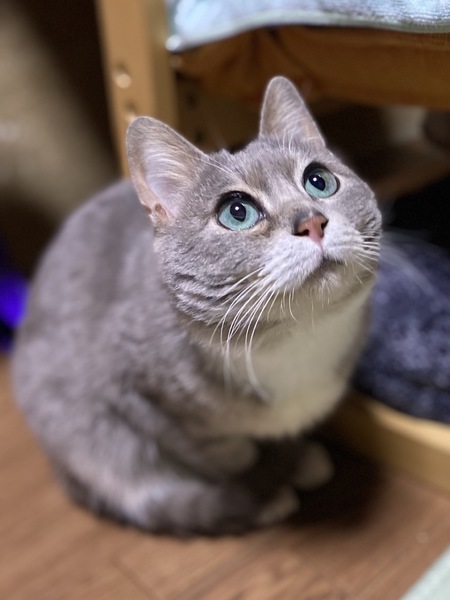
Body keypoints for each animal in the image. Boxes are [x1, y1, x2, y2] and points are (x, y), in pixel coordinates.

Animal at [12, 77, 381, 535]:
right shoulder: (141, 400)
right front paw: (266, 485)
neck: (295, 342)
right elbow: (228, 453)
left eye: (319, 180)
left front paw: (297, 460)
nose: (311, 221)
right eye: (237, 212)